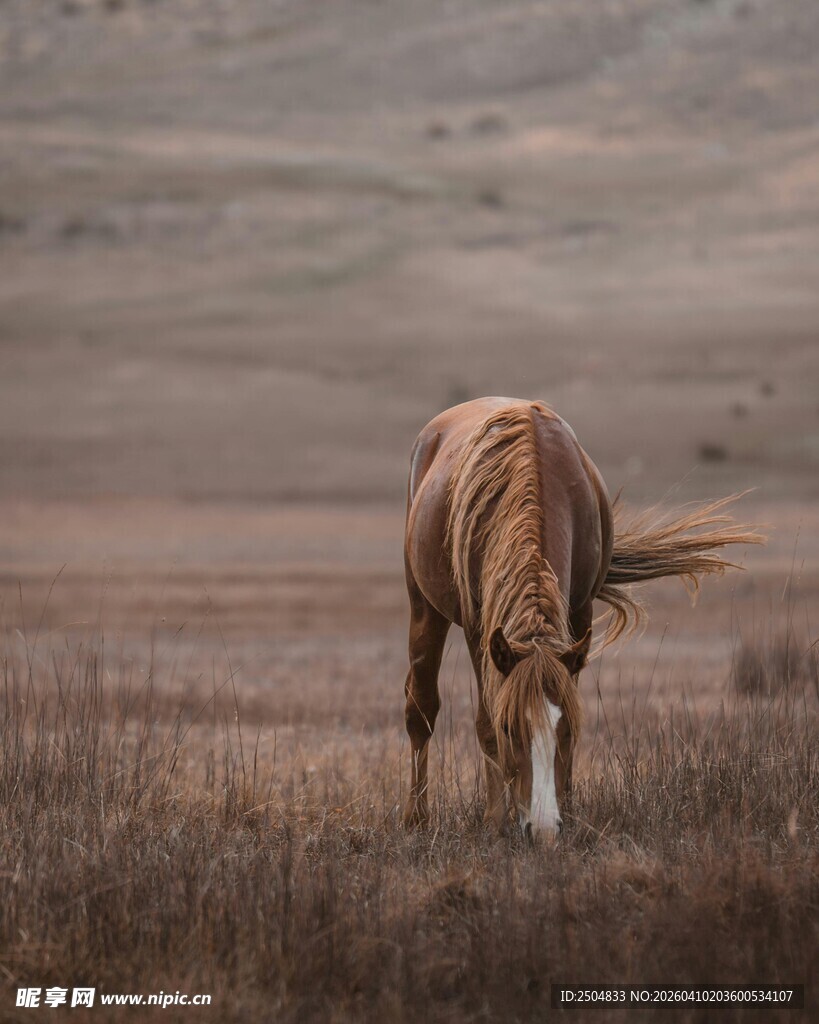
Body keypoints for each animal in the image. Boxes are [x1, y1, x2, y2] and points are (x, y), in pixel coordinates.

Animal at [402, 397, 760, 839]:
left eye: (565, 729)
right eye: (511, 729)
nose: (541, 830)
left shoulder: (579, 614)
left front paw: (568, 812)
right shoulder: (478, 628)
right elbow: (485, 722)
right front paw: (495, 821)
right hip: (424, 606)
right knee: (421, 709)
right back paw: (416, 819)